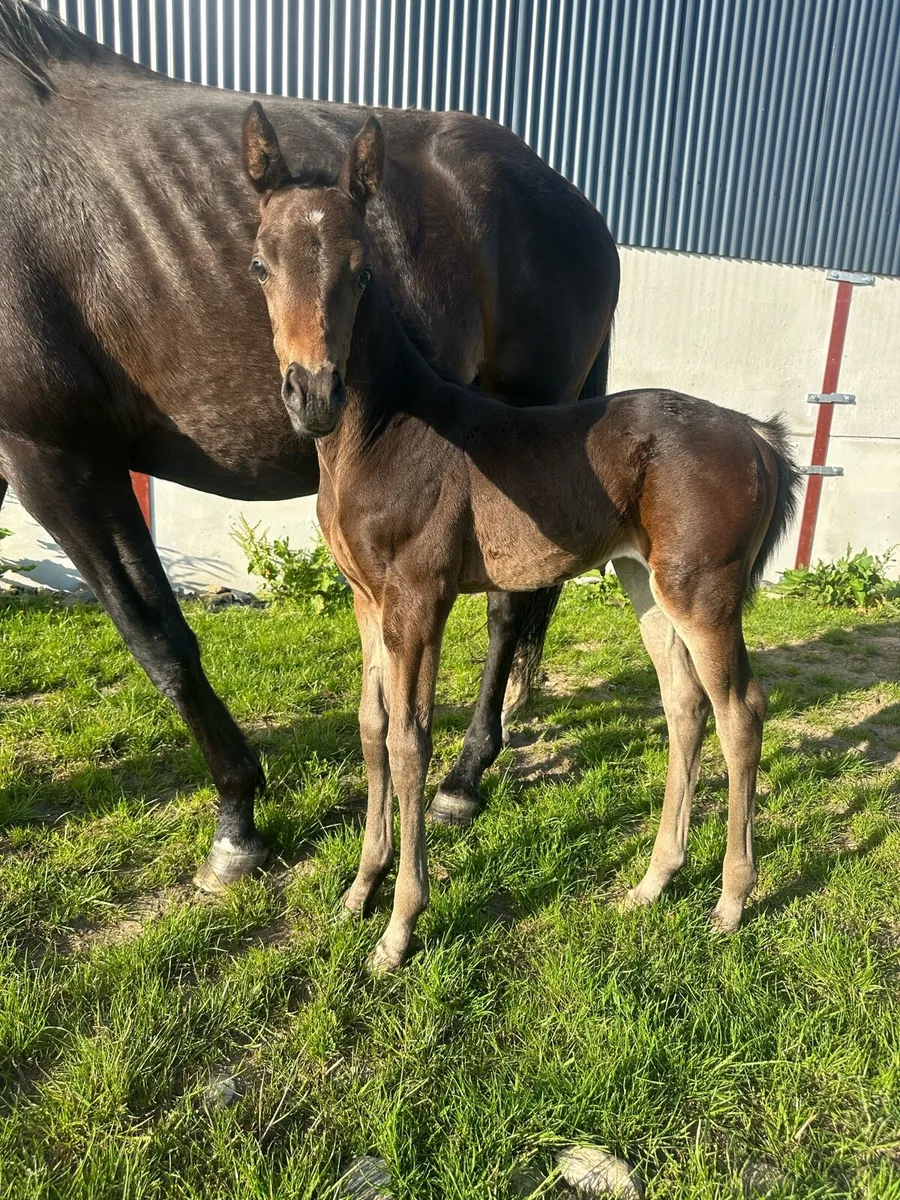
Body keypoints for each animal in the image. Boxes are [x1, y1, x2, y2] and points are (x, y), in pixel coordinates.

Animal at [0, 1, 618, 890]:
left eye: (365, 272)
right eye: (256, 264)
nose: (313, 394)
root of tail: (581, 207)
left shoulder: (54, 453)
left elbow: (159, 638)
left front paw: (237, 823)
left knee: (509, 606)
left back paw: (464, 779)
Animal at [244, 106, 800, 972]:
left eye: (362, 271)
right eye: (261, 264)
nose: (313, 395)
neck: (386, 430)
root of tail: (755, 436)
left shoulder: (419, 598)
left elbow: (409, 740)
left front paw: (399, 927)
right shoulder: (367, 599)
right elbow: (369, 728)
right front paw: (357, 892)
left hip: (702, 590)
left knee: (739, 708)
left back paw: (732, 900)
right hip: (645, 581)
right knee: (684, 705)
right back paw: (652, 882)